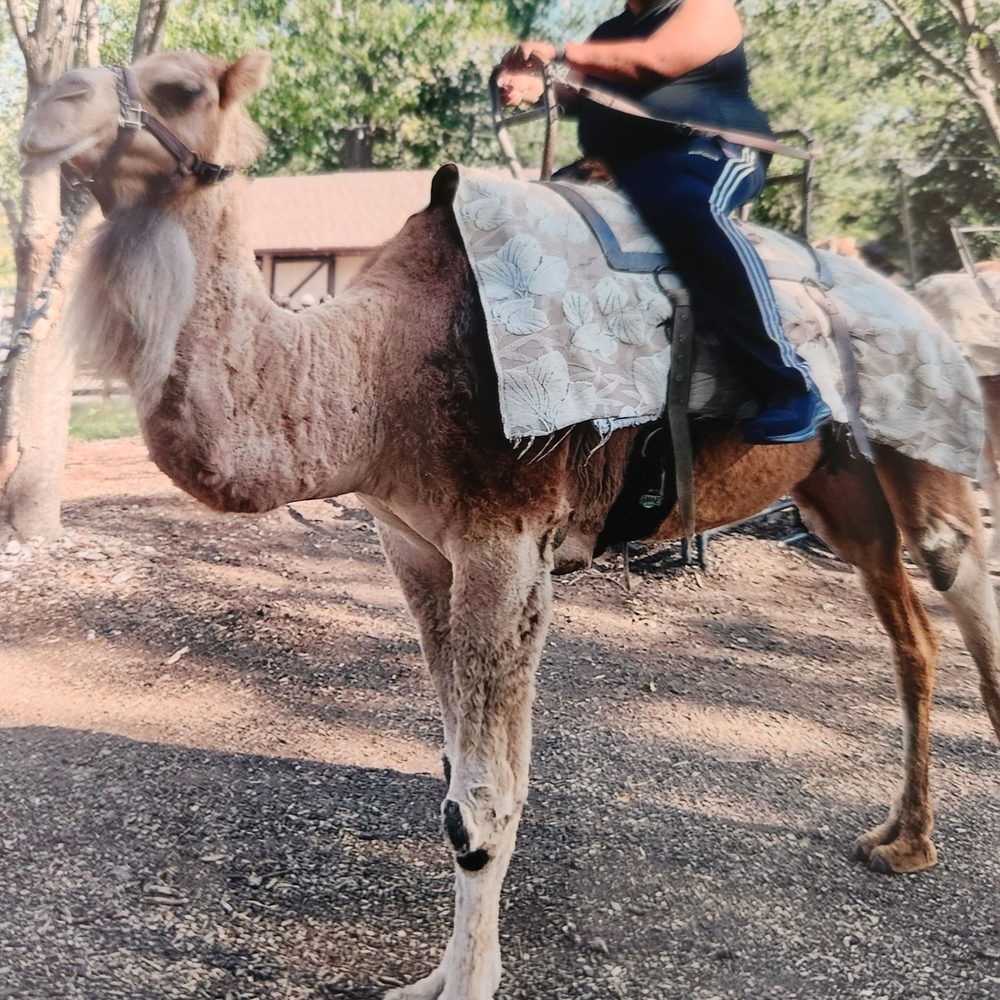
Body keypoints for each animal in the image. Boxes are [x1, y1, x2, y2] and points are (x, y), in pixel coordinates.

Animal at [18, 51, 1000, 1000]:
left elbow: (480, 804)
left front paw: (467, 983)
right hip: (838, 486)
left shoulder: (506, 542)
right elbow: (460, 772)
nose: (45, 109)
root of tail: (912, 299)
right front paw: (433, 977)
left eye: (181, 88)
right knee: (911, 634)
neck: (377, 370)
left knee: (959, 577)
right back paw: (902, 842)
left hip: (921, 434)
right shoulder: (415, 548)